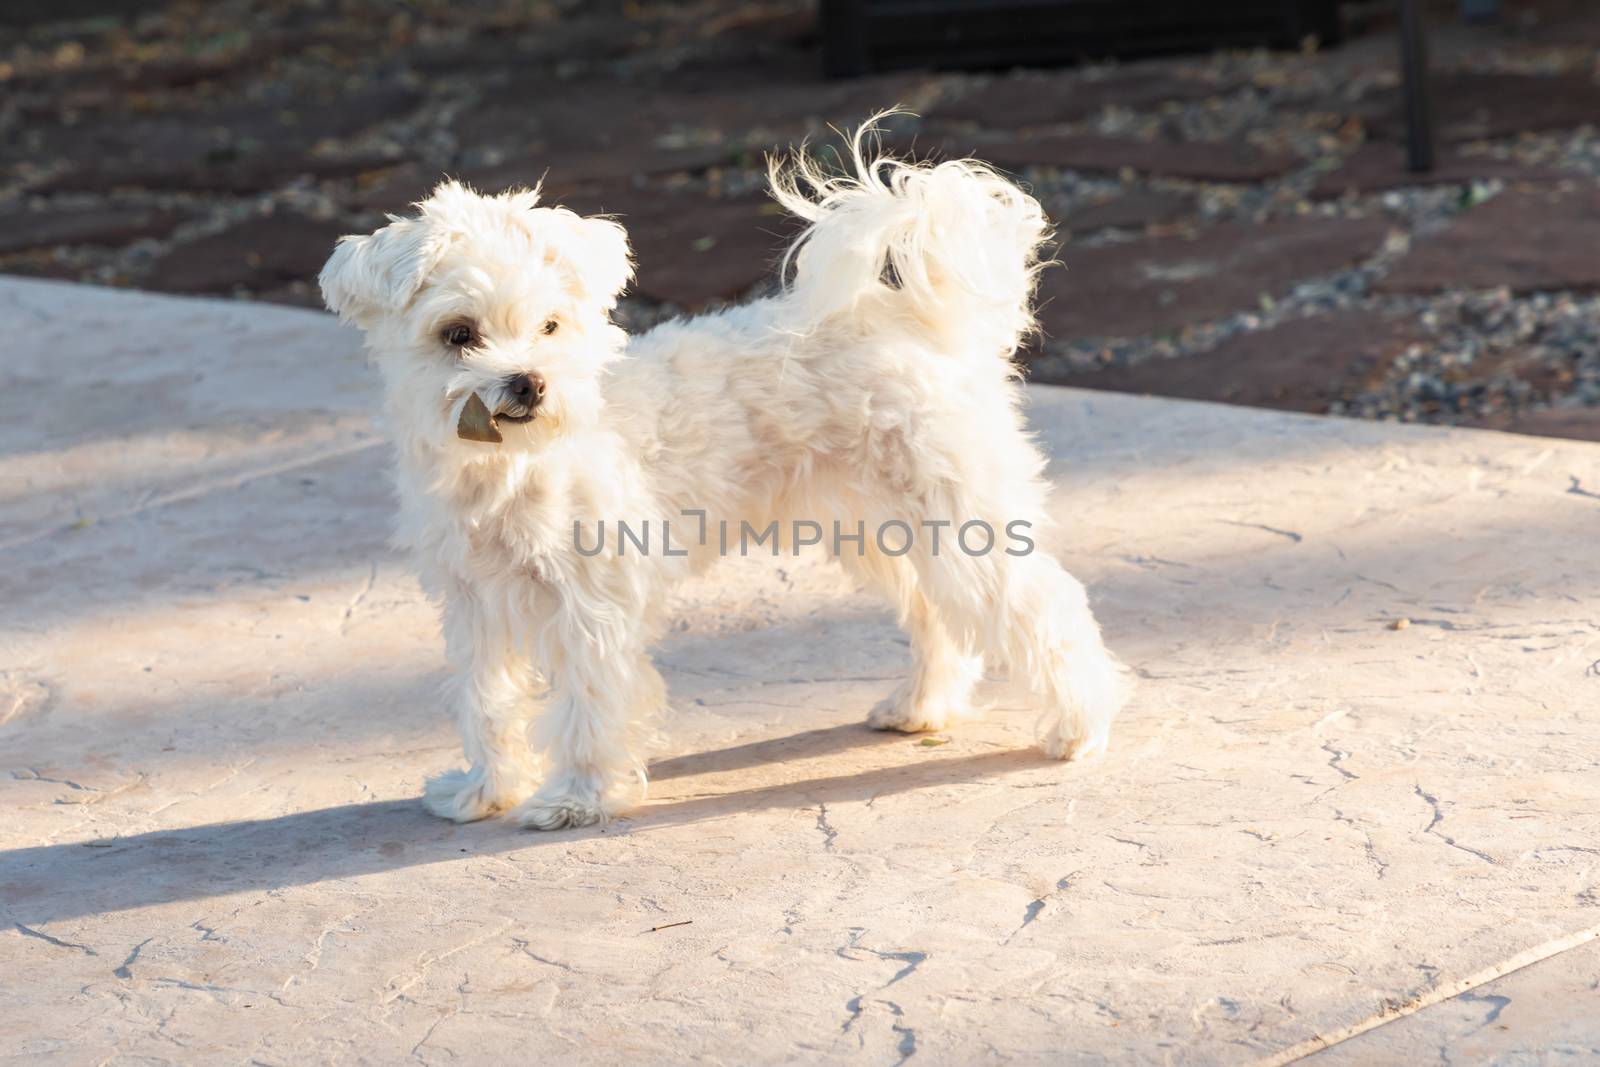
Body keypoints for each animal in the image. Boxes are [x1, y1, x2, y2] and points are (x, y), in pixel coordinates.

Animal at [318, 120, 1132, 831]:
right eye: (458, 335)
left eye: (550, 326)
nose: (528, 382)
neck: (513, 466)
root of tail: (914, 324)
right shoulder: (476, 609)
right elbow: (485, 705)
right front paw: (484, 791)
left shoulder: (590, 605)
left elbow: (588, 705)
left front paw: (579, 799)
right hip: (890, 534)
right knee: (941, 621)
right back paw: (921, 709)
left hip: (962, 527)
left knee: (1047, 608)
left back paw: (1081, 726)